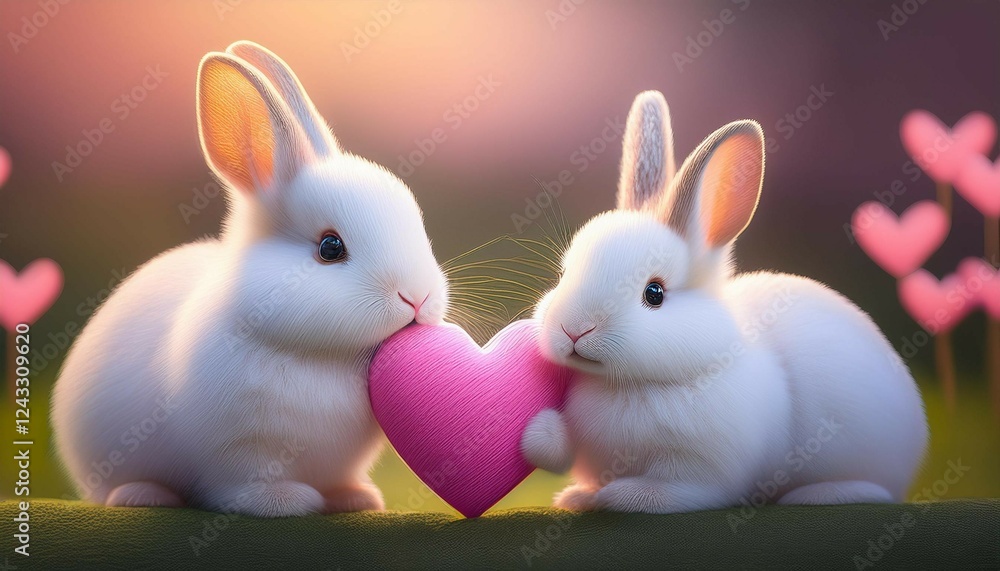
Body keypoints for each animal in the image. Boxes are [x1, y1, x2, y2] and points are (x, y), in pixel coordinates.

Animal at [51, 41, 449, 517]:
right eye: (330, 248)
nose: (417, 298)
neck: (322, 356)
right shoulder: (241, 451)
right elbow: (246, 484)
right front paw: (284, 503)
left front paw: (356, 500)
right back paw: (144, 495)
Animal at [520, 90, 927, 514]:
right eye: (564, 275)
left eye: (654, 293)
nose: (573, 330)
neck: (625, 385)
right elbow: (560, 452)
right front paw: (561, 469)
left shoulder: (703, 469)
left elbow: (681, 490)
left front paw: (625, 496)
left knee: (878, 491)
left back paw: (820, 494)